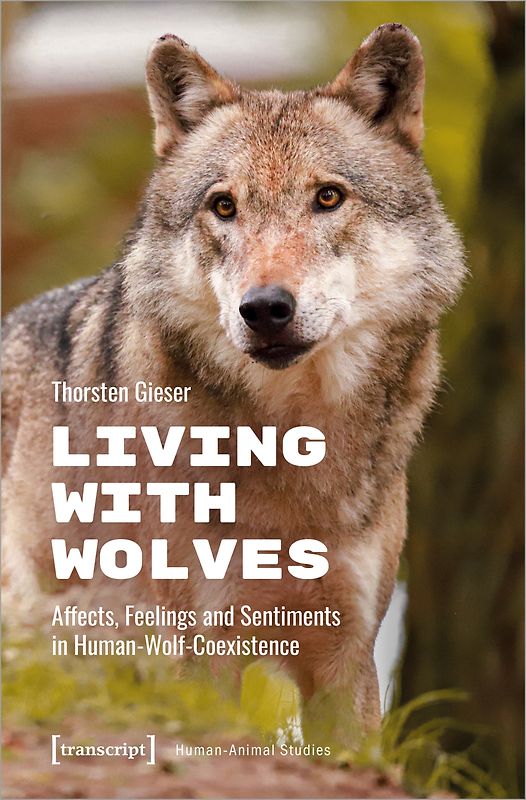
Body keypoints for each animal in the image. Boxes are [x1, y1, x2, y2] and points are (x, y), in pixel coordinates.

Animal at [2, 24, 464, 742]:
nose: (265, 308)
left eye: (328, 197)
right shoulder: (200, 655)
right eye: (224, 206)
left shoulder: (347, 660)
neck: (290, 446)